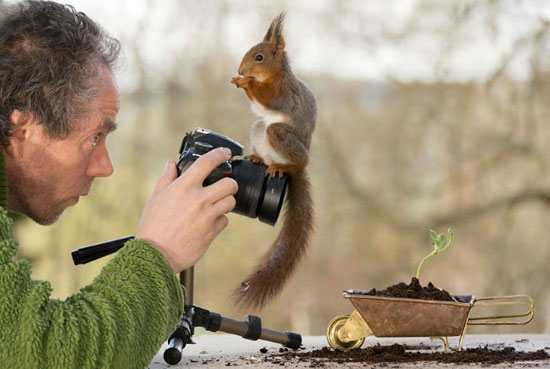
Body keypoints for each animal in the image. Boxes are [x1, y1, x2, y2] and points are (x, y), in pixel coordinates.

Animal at [231, 12, 316, 310]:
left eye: (259, 57)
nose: (241, 69)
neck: (273, 75)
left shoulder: (284, 92)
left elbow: (270, 99)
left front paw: (246, 83)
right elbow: (259, 106)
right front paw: (240, 81)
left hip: (280, 136)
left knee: (293, 159)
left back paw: (284, 166)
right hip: (260, 130)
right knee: (261, 130)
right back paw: (260, 158)